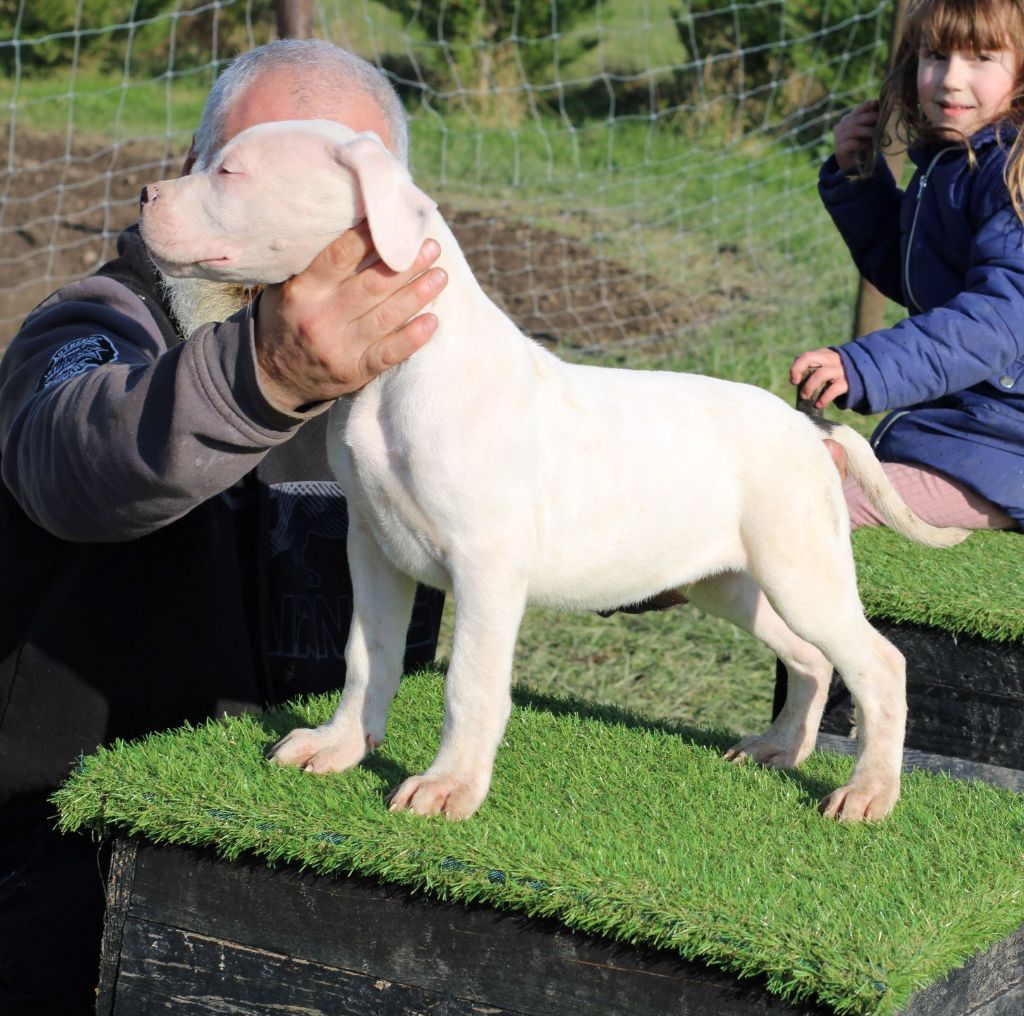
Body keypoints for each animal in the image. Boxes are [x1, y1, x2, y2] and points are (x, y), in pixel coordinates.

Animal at [140, 119, 968, 823]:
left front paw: (450, 787)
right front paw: (341, 747)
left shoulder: (486, 567)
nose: (145, 194)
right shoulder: (373, 551)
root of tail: (808, 428)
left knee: (879, 665)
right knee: (810, 659)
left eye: (232, 171)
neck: (405, 368)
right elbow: (364, 657)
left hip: (802, 572)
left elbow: (471, 686)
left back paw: (870, 792)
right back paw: (778, 749)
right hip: (731, 580)